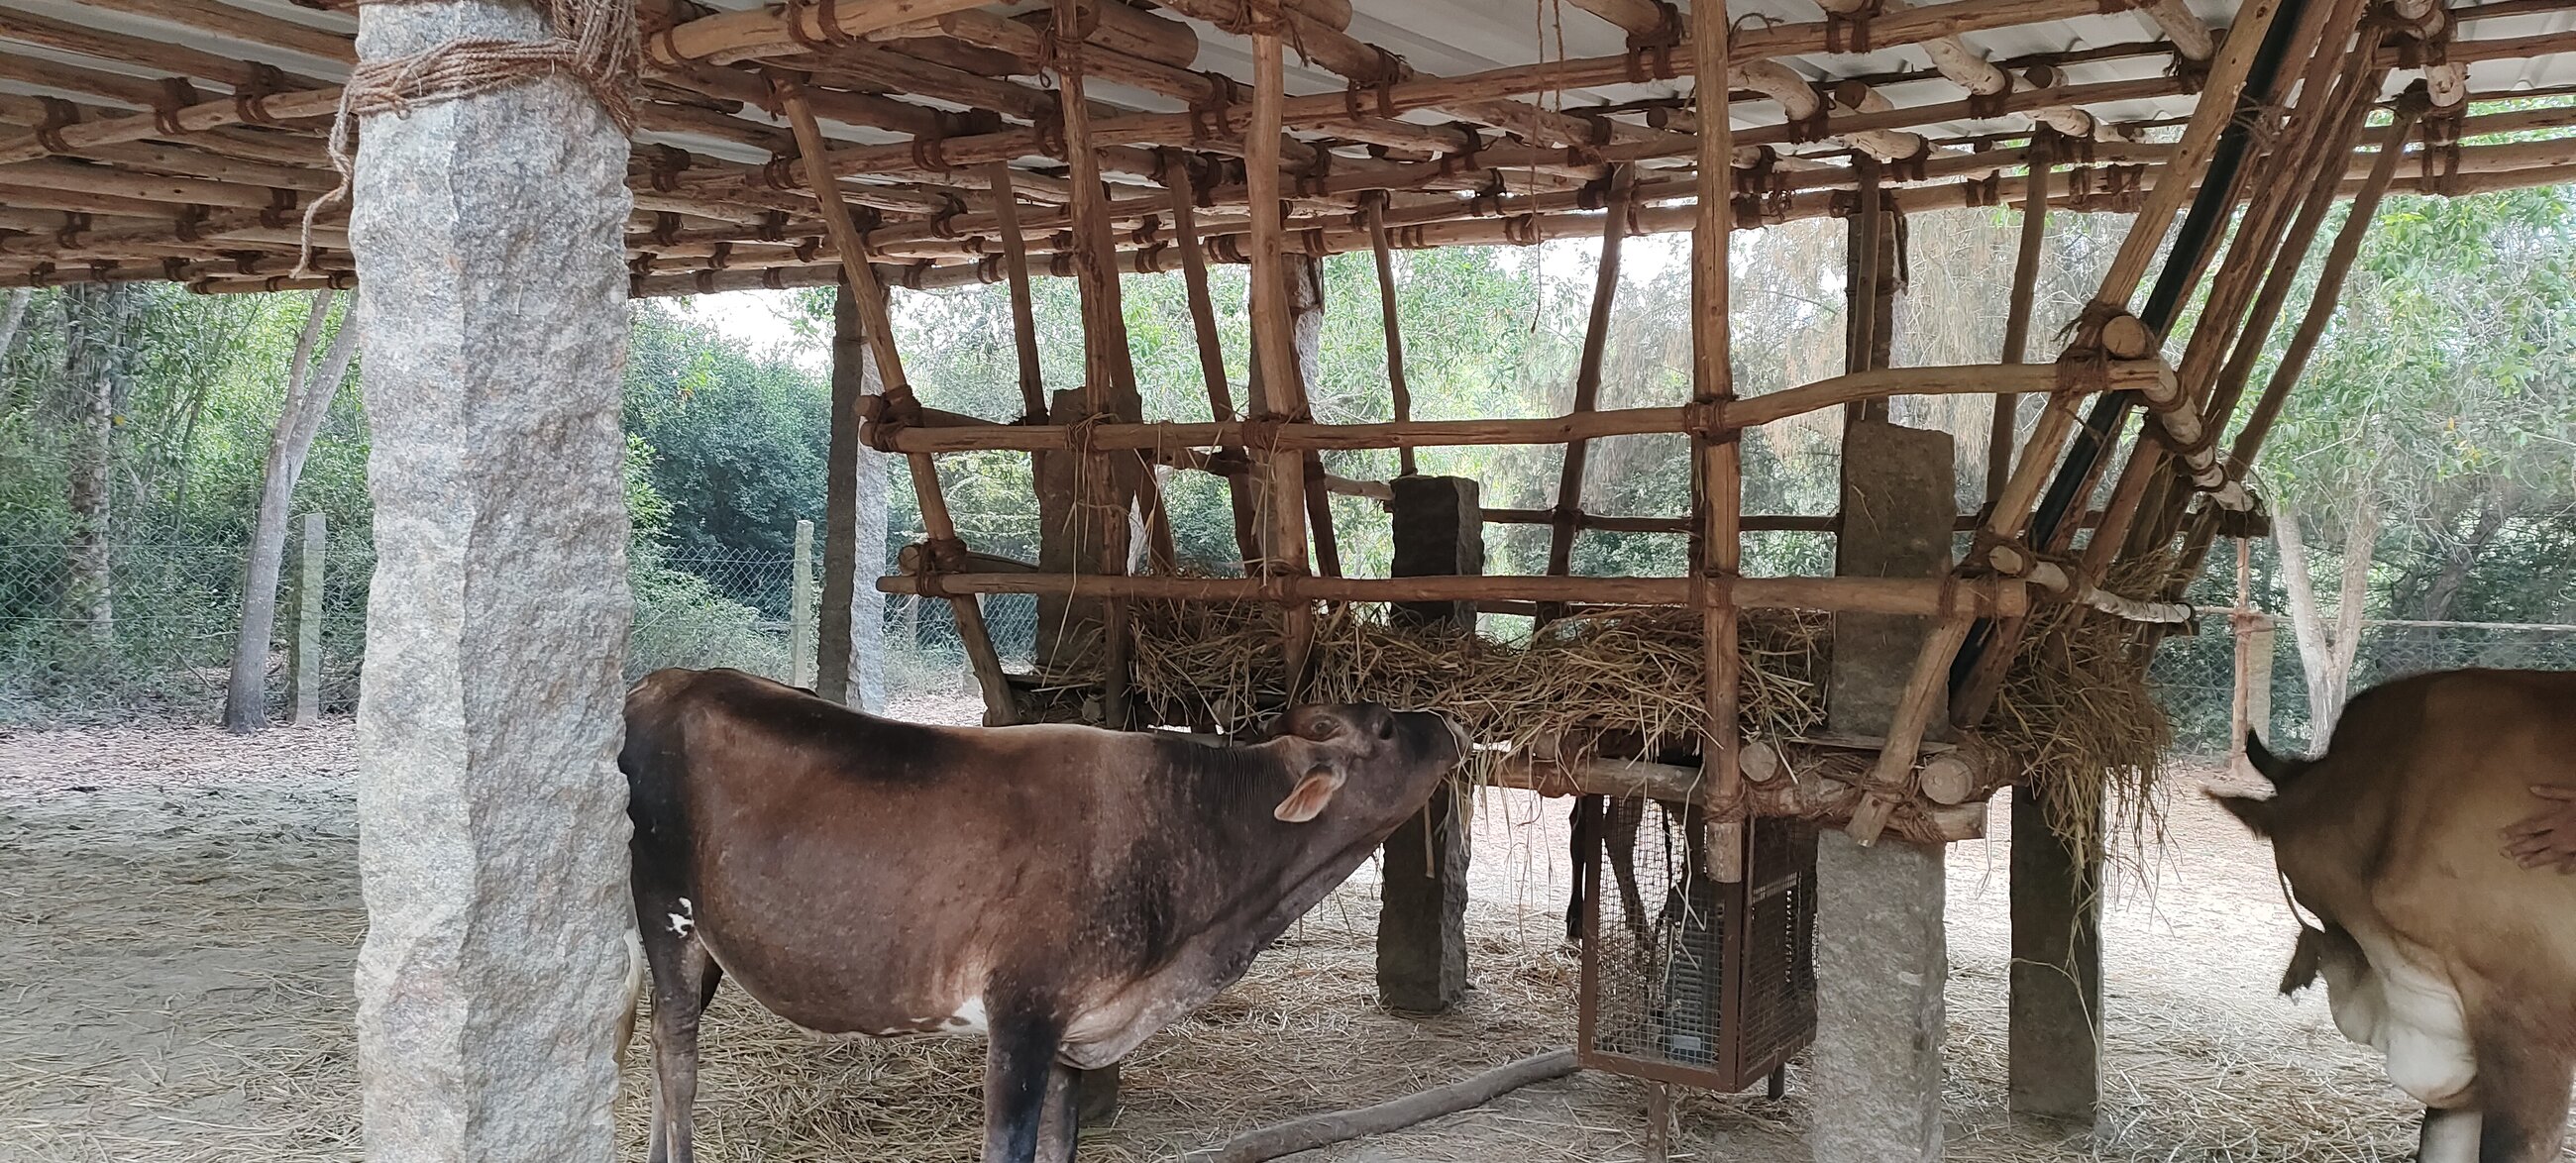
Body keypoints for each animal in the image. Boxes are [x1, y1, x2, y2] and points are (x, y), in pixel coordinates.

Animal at [620, 669, 1462, 1157]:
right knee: (675, 1056)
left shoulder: (1073, 1035)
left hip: (703, 942)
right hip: (664, 913)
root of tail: (665, 680)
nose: (1449, 722)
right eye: (1385, 726)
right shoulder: (1022, 1017)